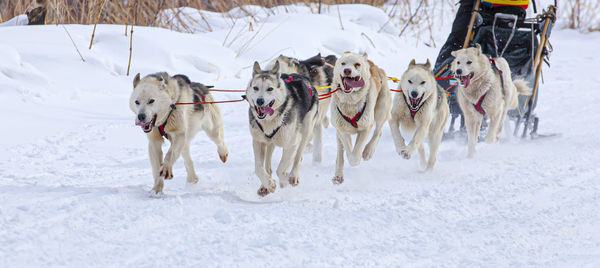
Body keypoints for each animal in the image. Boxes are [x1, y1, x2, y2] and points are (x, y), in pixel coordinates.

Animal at [245, 61, 318, 197]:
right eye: (256, 88)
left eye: (270, 89)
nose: (259, 101)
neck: (270, 120)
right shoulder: (258, 142)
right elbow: (258, 168)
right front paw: (269, 184)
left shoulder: (292, 143)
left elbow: (281, 169)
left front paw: (283, 181)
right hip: (270, 143)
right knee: (268, 166)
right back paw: (265, 186)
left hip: (305, 131)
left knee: (298, 157)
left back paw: (293, 176)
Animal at [328, 52, 394, 184]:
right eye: (343, 63)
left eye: (357, 64)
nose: (347, 70)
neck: (350, 104)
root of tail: (372, 64)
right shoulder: (342, 130)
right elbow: (347, 150)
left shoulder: (365, 128)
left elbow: (355, 154)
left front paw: (358, 157)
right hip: (338, 129)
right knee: (340, 151)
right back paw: (338, 174)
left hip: (381, 110)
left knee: (378, 132)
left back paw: (368, 151)